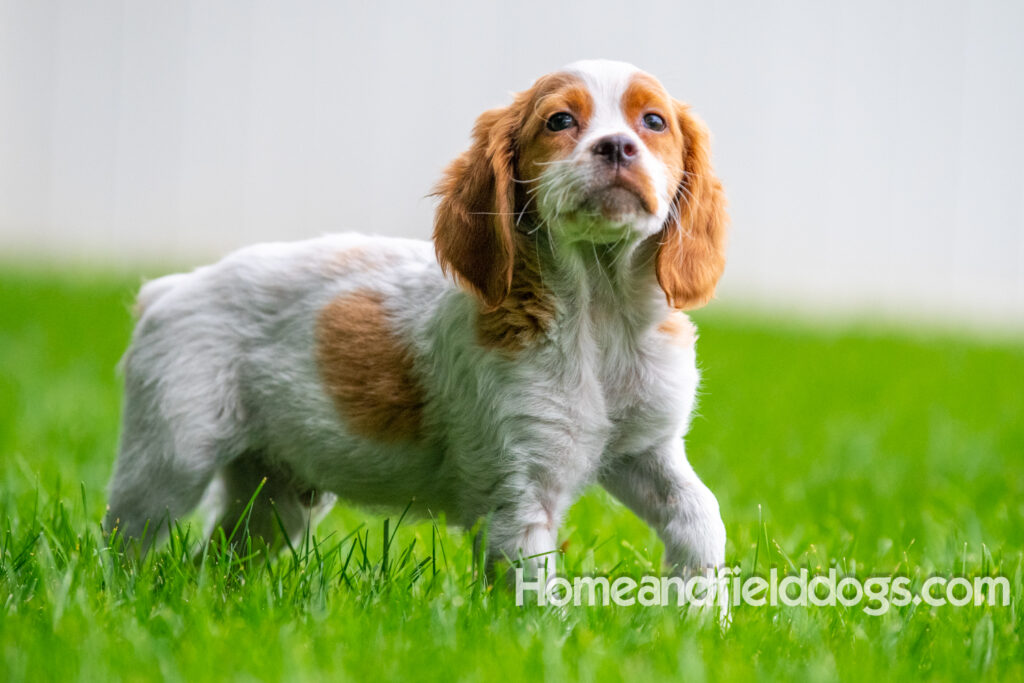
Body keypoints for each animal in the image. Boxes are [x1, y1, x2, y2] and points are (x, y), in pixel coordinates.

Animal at [103, 61, 729, 581]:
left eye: (654, 121)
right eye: (559, 121)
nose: (618, 146)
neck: (601, 313)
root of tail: (171, 288)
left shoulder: (645, 450)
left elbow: (701, 514)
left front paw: (698, 614)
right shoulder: (519, 498)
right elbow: (538, 596)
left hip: (275, 495)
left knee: (217, 559)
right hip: (171, 456)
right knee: (123, 538)